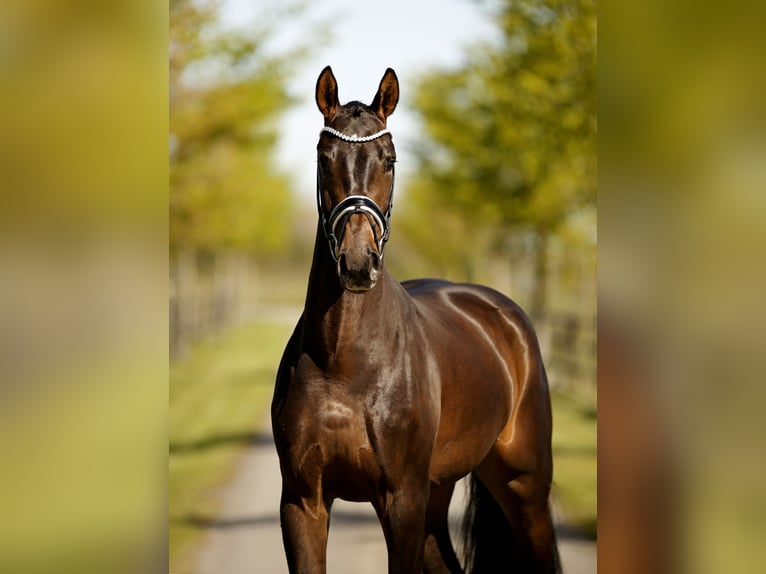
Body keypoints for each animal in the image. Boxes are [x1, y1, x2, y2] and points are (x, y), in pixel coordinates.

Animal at [271, 66, 560, 574]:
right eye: (325, 159)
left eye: (389, 159)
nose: (357, 264)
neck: (345, 363)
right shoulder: (303, 502)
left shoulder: (402, 502)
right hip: (438, 494)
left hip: (525, 487)